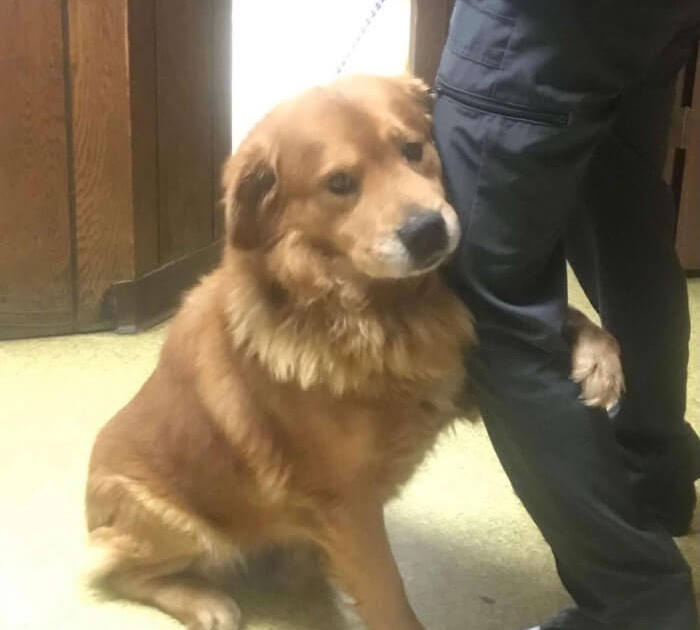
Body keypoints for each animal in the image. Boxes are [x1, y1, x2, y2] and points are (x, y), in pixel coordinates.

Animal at [83, 75, 624, 630]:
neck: (373, 313)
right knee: (120, 572)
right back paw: (203, 601)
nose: (428, 230)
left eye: (413, 149)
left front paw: (598, 357)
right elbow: (389, 599)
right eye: (340, 183)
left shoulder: (457, 394)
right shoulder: (347, 505)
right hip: (183, 527)